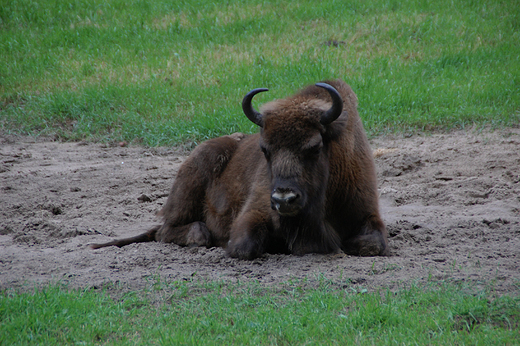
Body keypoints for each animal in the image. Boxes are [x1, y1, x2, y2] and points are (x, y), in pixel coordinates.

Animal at [91, 79, 388, 258]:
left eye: (314, 147)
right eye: (265, 149)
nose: (283, 199)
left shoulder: (367, 211)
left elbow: (373, 244)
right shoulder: (253, 212)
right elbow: (243, 247)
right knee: (170, 229)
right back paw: (201, 233)